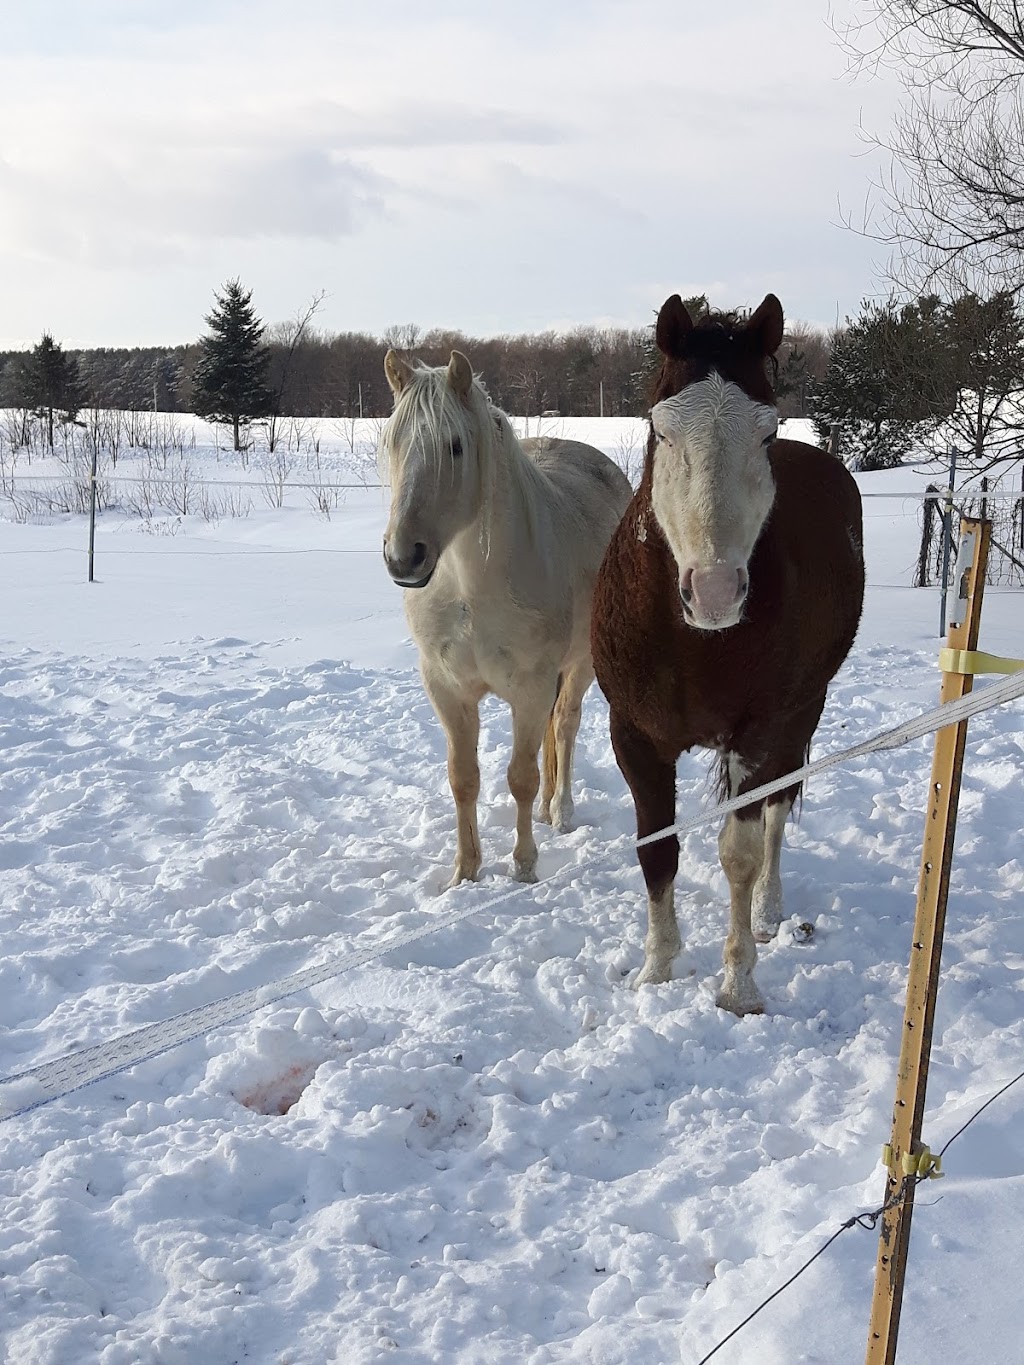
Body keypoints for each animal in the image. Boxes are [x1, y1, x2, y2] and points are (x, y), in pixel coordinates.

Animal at [379, 349, 630, 884]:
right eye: (392, 441)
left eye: (455, 446)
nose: (404, 558)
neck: (470, 591)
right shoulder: (447, 690)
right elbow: (464, 779)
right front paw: (465, 872)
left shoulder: (530, 690)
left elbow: (522, 778)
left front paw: (524, 867)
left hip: (581, 665)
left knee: (566, 726)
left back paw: (561, 811)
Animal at [592, 293, 868, 1015]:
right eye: (661, 431)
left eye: (766, 435)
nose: (715, 591)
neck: (693, 643)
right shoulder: (634, 736)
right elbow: (656, 851)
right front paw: (656, 971)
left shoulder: (756, 732)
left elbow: (739, 853)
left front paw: (737, 985)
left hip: (803, 712)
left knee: (776, 809)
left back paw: (769, 912)